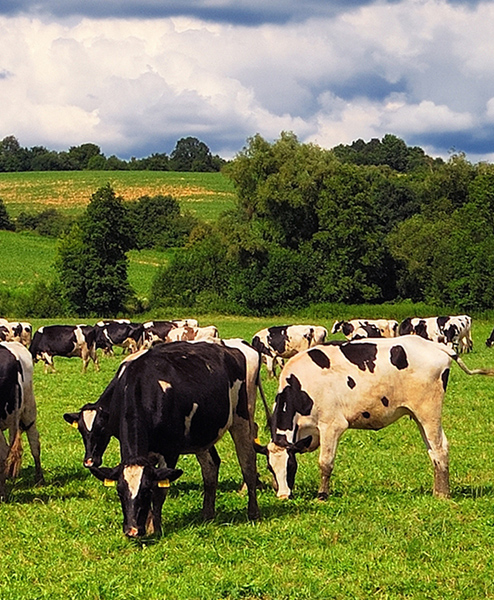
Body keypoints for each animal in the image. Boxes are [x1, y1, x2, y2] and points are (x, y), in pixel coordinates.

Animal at [65, 342, 262, 540]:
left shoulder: (170, 451)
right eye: (120, 492)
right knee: (211, 466)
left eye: (146, 491)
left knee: (248, 463)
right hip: (201, 435)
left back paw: (253, 512)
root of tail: (233, 349)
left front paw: (155, 528)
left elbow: (160, 490)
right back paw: (207, 514)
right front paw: (148, 523)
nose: (132, 530)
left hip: (242, 418)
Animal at [256, 336, 492, 500]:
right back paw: (438, 491)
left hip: (429, 412)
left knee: (440, 447)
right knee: (433, 450)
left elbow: (325, 463)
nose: (283, 496)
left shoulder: (332, 425)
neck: (300, 386)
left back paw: (443, 494)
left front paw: (322, 495)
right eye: (270, 468)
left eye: (290, 466)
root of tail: (434, 345)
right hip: (419, 416)